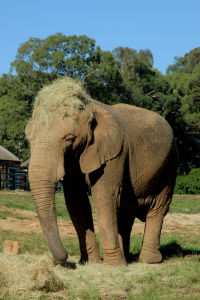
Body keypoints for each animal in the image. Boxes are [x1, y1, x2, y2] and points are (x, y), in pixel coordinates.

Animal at [25, 76, 178, 266]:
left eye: (69, 140)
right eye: (27, 137)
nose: (67, 259)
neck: (91, 108)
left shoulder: (115, 153)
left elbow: (103, 196)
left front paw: (113, 266)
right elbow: (77, 202)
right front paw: (91, 263)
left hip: (170, 167)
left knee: (157, 209)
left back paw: (148, 260)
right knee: (125, 213)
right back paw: (127, 257)